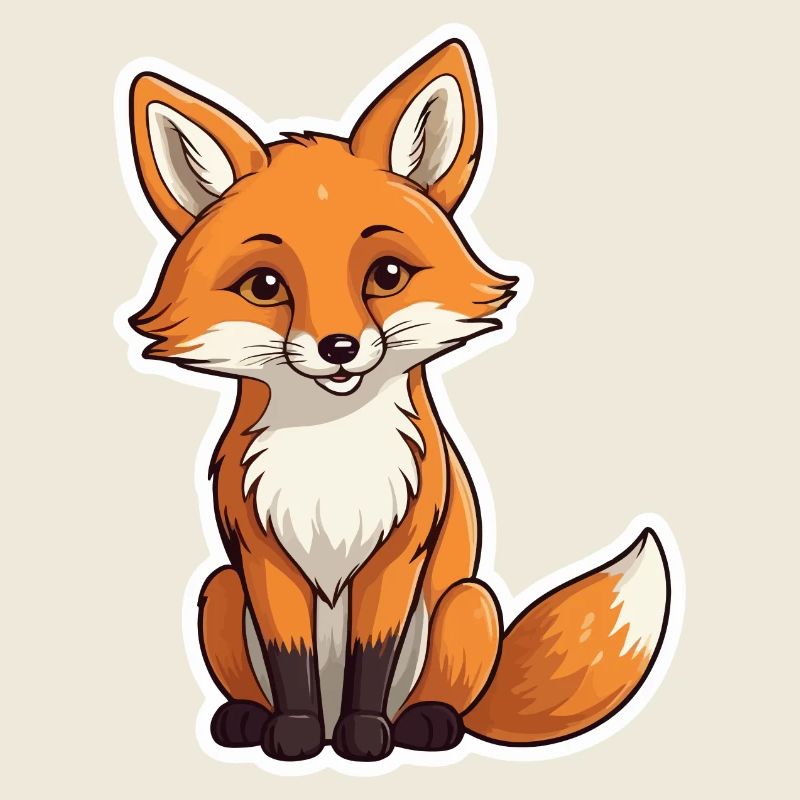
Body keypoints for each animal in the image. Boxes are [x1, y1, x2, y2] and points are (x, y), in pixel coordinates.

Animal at [122, 37, 673, 764]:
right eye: (266, 286)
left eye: (386, 275)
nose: (339, 347)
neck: (331, 453)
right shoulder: (262, 558)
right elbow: (290, 662)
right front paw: (294, 734)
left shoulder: (398, 551)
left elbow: (371, 657)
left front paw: (363, 736)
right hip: (219, 591)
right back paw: (246, 718)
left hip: (465, 605)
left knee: (441, 692)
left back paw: (424, 722)